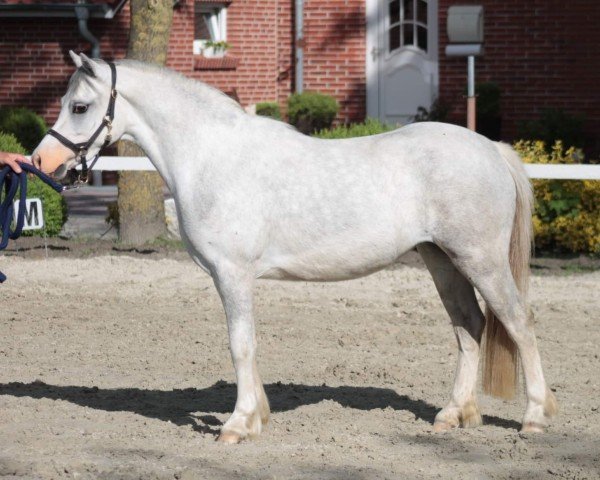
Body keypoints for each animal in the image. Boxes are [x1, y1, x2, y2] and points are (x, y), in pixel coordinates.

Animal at [34, 52, 556, 442]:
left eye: (79, 106)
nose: (43, 161)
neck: (212, 156)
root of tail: (491, 149)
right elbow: (248, 345)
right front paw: (257, 416)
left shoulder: (232, 273)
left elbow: (240, 344)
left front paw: (237, 425)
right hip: (442, 261)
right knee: (469, 326)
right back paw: (454, 414)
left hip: (480, 260)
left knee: (519, 322)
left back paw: (534, 417)